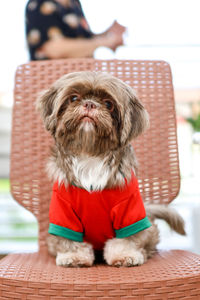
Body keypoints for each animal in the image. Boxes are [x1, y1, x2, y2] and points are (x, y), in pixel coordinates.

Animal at [36, 71, 185, 268]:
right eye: (73, 97)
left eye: (108, 103)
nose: (89, 103)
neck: (90, 154)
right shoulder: (64, 212)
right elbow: (70, 240)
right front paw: (74, 256)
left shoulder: (128, 210)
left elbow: (127, 239)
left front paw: (125, 255)